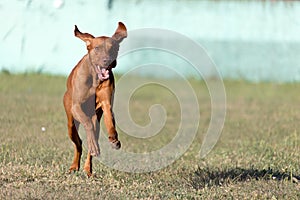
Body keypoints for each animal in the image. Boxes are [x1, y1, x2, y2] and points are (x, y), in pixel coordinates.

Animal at [63, 21, 127, 176]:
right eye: (97, 48)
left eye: (114, 48)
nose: (108, 61)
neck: (95, 78)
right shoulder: (76, 106)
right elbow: (87, 123)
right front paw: (92, 143)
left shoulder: (106, 103)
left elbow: (110, 120)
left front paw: (114, 139)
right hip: (70, 123)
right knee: (79, 143)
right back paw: (74, 166)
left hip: (96, 118)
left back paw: (88, 168)